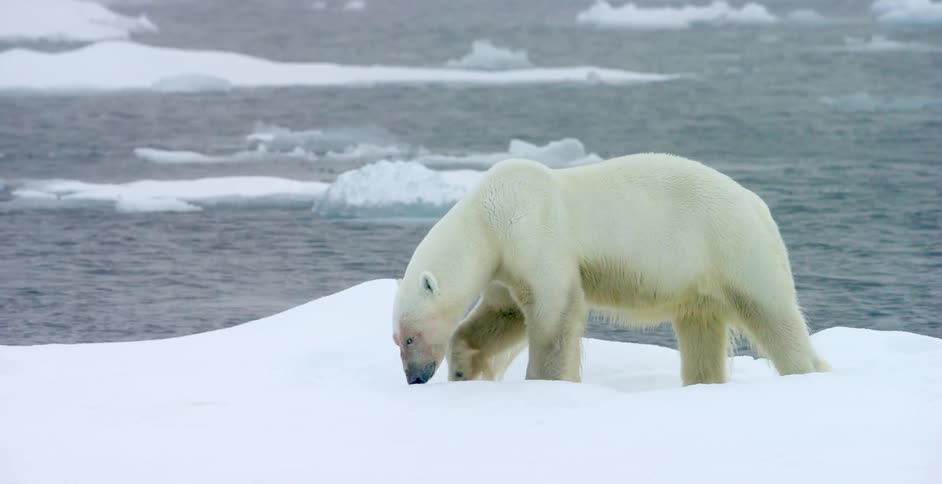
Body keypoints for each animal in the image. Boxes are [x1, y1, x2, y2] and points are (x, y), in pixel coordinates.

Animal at [391, 152, 830, 386]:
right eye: (397, 339)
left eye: (408, 338)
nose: (415, 378)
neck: (489, 214)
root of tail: (759, 206)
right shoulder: (508, 262)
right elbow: (502, 314)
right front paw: (466, 370)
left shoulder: (536, 233)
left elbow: (554, 315)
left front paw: (546, 383)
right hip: (700, 280)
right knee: (701, 330)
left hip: (732, 246)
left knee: (774, 317)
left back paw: (807, 372)